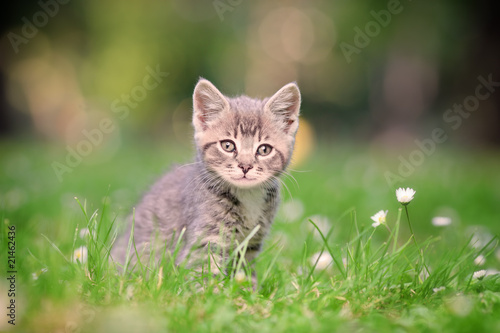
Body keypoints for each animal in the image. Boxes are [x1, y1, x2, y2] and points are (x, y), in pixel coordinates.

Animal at [112, 78, 300, 274]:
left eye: (264, 149)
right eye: (228, 146)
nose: (245, 166)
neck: (248, 196)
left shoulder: (250, 245)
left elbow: (244, 274)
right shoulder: (204, 241)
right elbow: (206, 273)